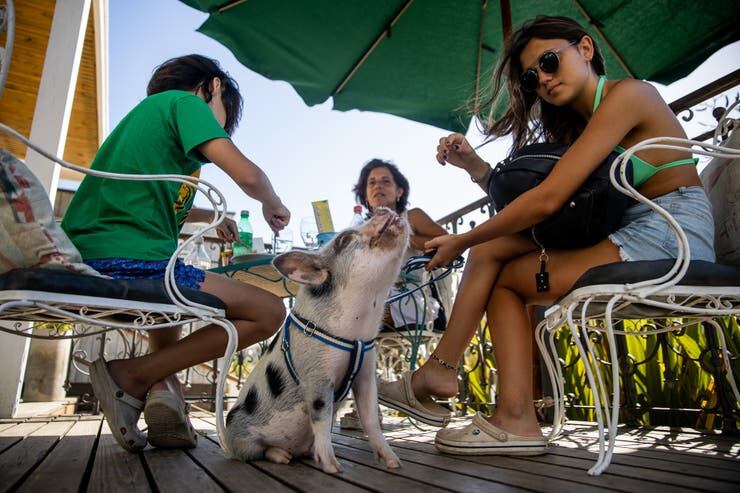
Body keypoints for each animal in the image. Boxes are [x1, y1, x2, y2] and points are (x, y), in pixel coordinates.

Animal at [225, 207, 410, 472]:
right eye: (344, 239)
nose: (382, 209)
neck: (357, 330)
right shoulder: (316, 374)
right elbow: (321, 417)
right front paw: (333, 468)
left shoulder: (366, 372)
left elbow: (370, 417)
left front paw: (394, 463)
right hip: (236, 433)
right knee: (256, 452)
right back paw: (283, 456)